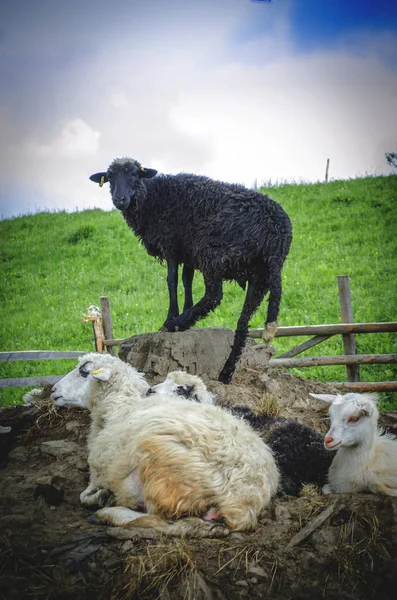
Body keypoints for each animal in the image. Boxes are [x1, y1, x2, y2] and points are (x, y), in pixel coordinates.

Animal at [50, 354, 278, 536]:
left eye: (84, 371)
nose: (53, 390)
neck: (119, 406)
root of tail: (243, 503)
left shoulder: (100, 471)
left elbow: (83, 496)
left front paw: (99, 497)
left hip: (159, 469)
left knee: (164, 519)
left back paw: (108, 512)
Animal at [90, 159, 294, 384]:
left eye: (134, 174)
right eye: (109, 178)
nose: (120, 199)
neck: (153, 197)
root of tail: (277, 235)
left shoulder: (171, 243)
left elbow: (171, 280)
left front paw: (172, 317)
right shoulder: (187, 252)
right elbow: (187, 279)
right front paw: (186, 311)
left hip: (212, 251)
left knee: (214, 296)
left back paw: (175, 324)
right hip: (260, 275)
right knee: (243, 321)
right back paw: (225, 373)